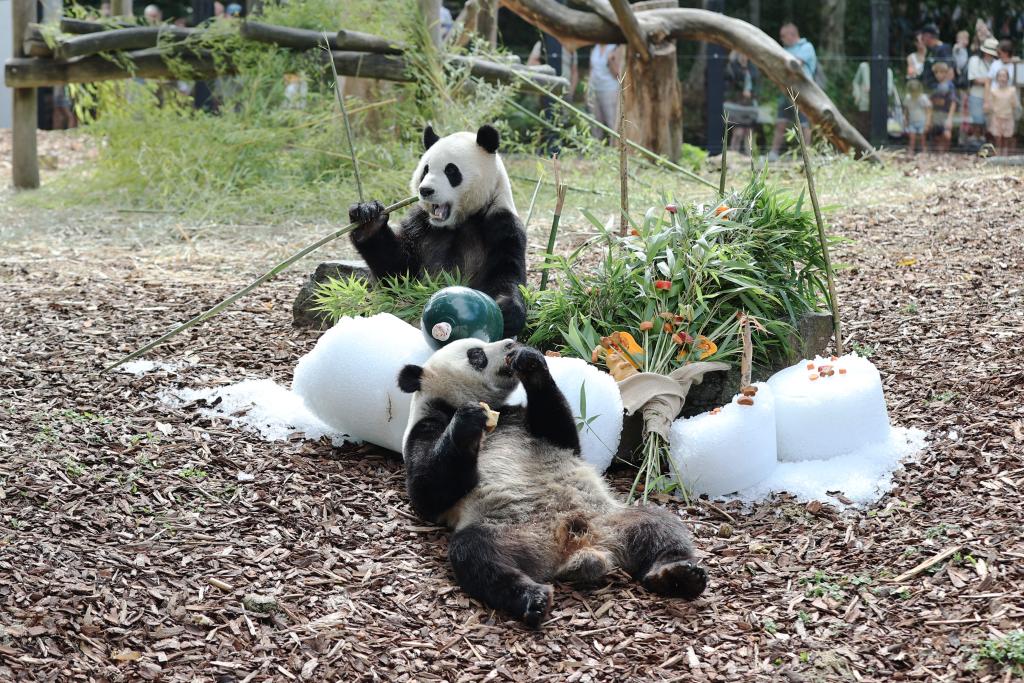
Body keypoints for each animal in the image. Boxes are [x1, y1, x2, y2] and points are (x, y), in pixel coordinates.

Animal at [352, 124, 528, 339]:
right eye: (425, 169)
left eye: (451, 170)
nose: (425, 190)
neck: (458, 221)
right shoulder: (420, 226)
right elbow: (398, 274)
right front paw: (368, 219)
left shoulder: (501, 224)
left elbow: (507, 270)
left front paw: (506, 310)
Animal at [395, 339, 708, 626]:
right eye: (476, 354)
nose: (510, 343)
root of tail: (578, 546)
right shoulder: (425, 428)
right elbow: (428, 491)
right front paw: (468, 421)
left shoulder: (525, 419)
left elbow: (561, 433)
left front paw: (530, 362)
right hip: (510, 531)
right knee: (477, 555)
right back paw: (532, 598)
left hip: (613, 519)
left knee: (659, 526)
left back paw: (679, 575)